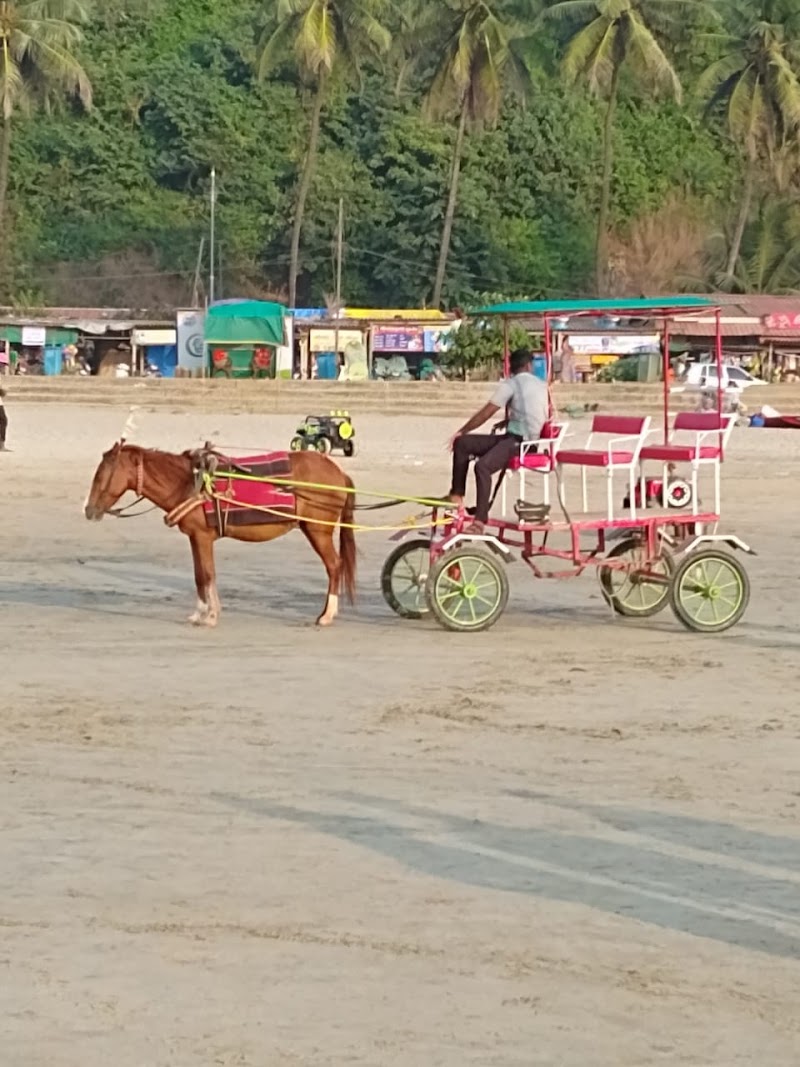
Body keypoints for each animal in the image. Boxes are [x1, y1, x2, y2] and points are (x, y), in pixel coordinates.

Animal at [84, 442, 357, 628]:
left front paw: (211, 615)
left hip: (317, 530)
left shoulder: (203, 537)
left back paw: (327, 615)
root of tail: (337, 471)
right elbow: (199, 576)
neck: (189, 484)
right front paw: (200, 612)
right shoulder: (195, 538)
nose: (88, 510)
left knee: (334, 565)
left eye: (102, 475)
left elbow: (207, 574)